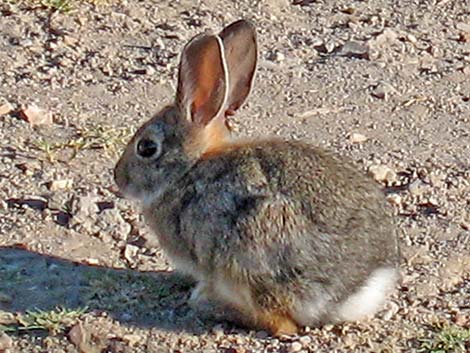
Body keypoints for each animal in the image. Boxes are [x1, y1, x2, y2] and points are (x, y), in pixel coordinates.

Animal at [112, 19, 398, 336]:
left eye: (147, 148)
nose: (118, 177)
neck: (190, 167)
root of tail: (357, 288)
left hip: (252, 250)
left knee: (281, 323)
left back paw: (210, 303)